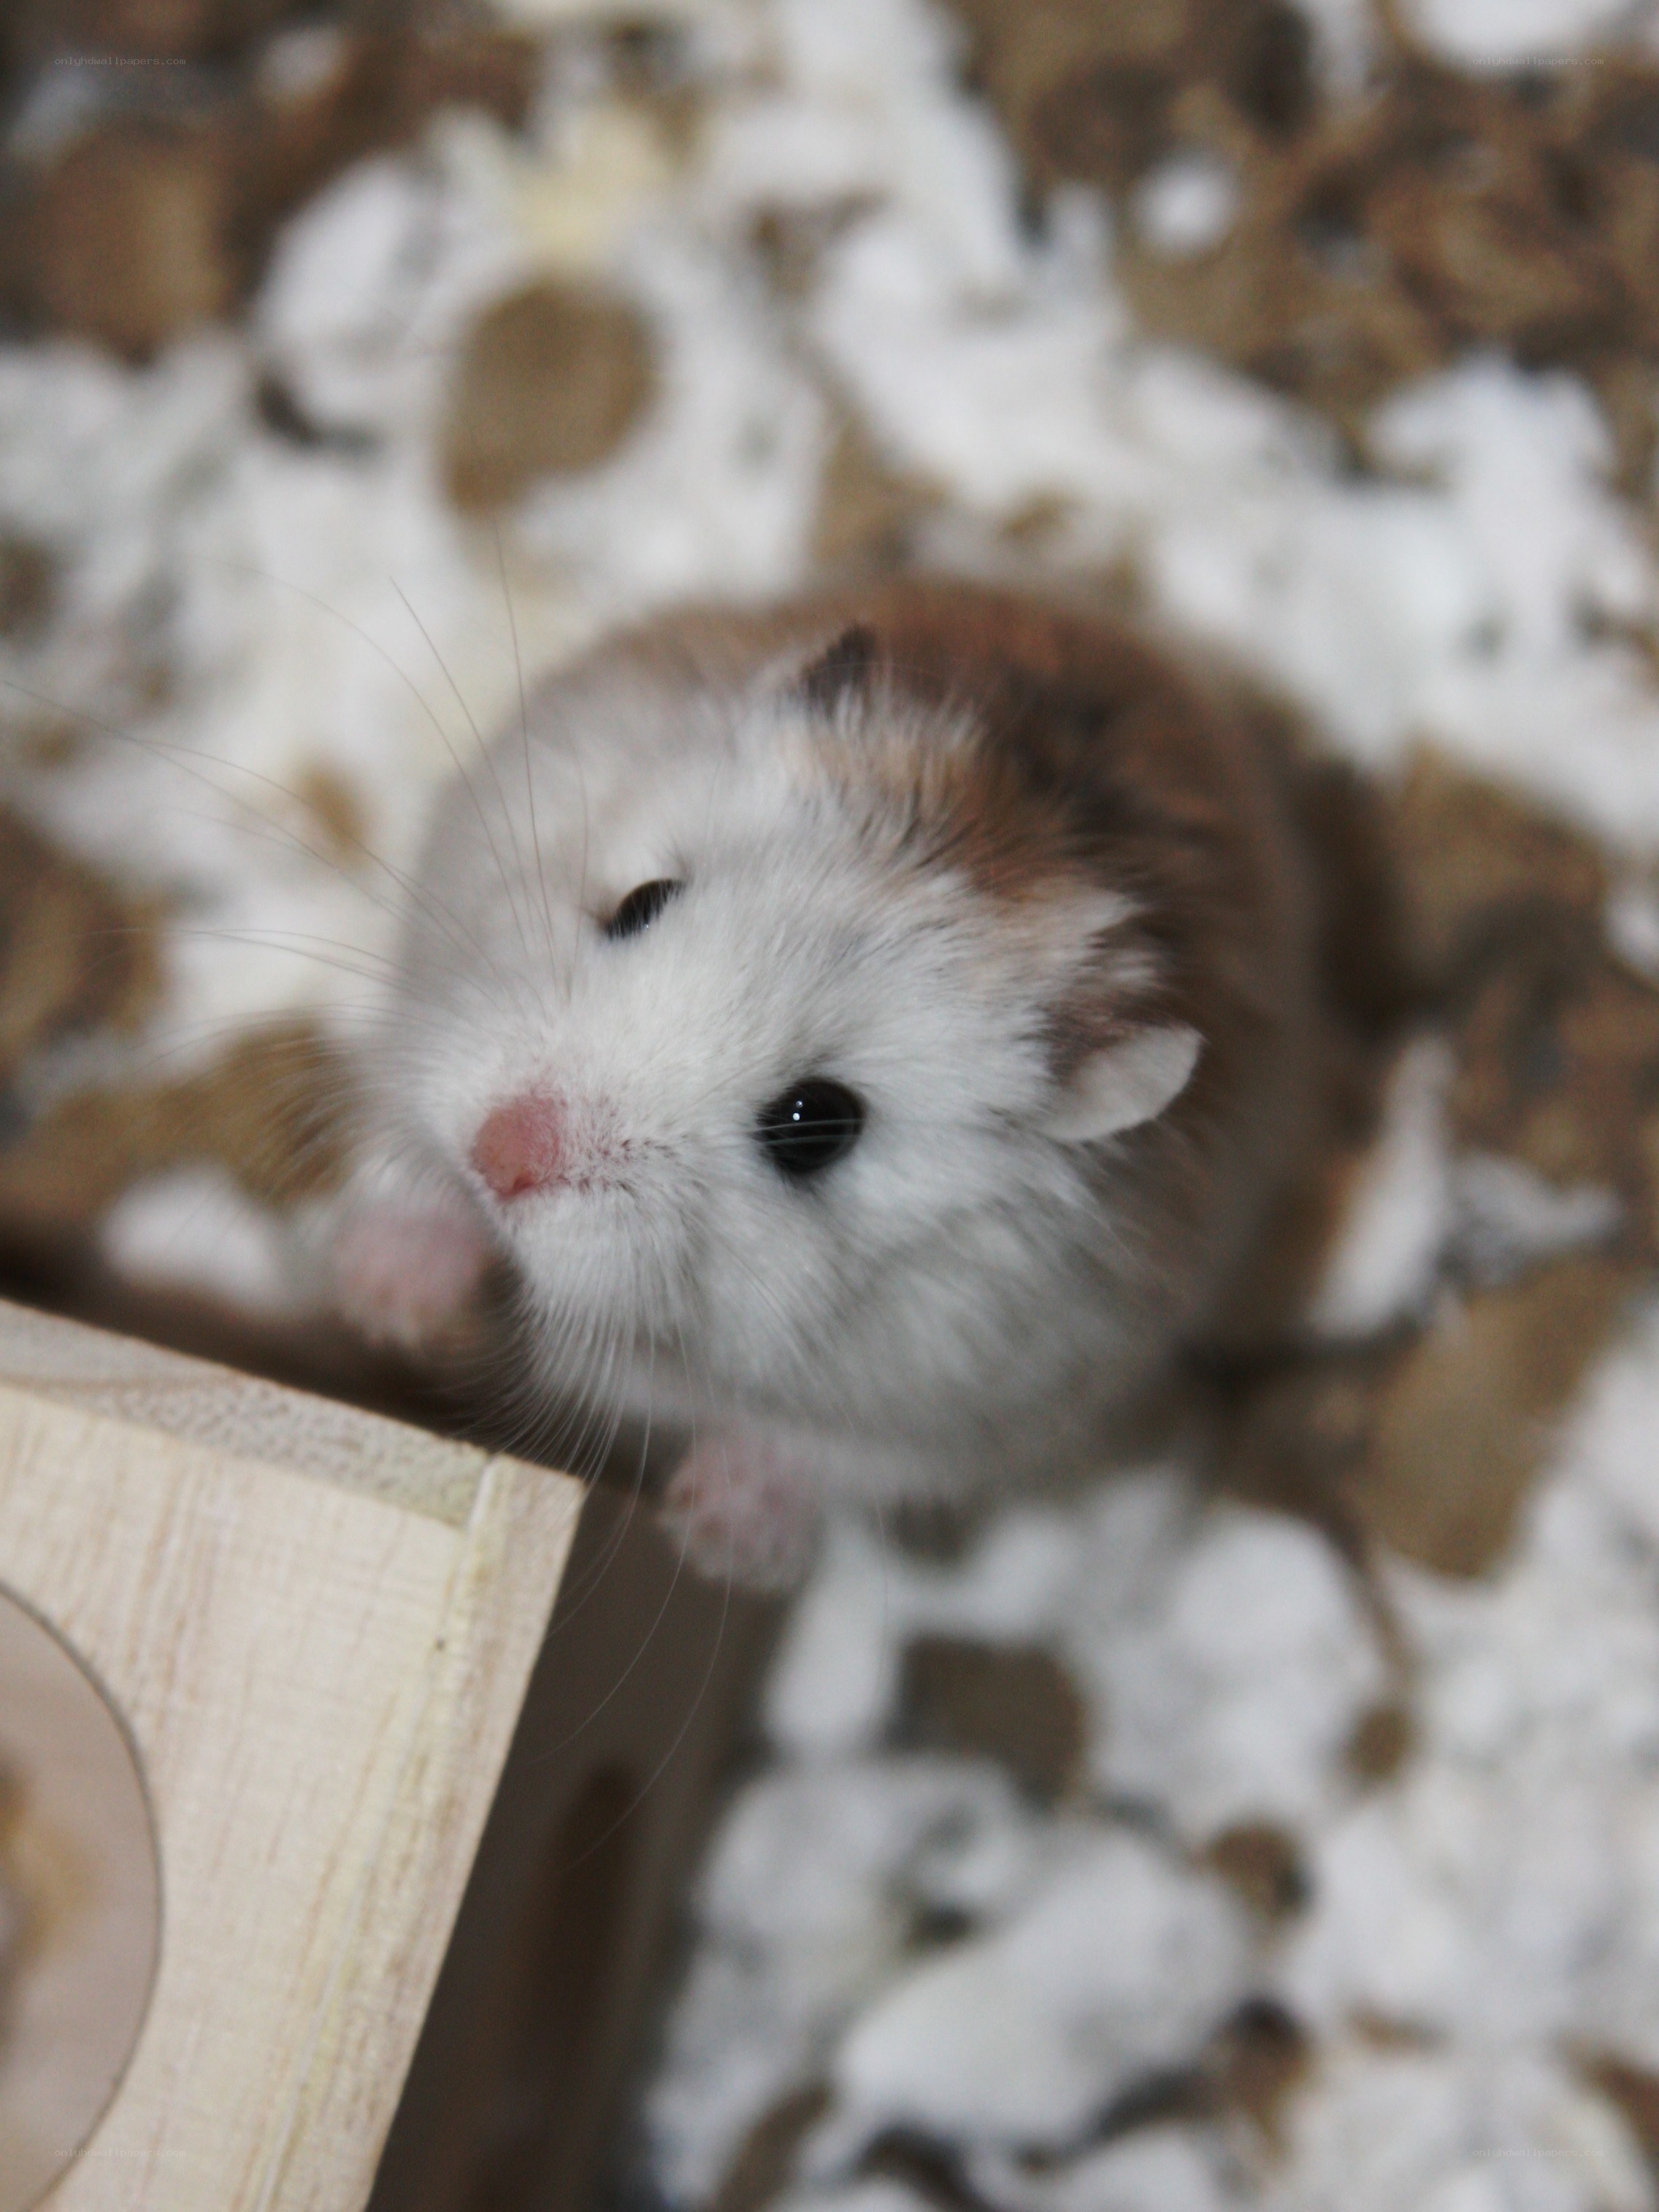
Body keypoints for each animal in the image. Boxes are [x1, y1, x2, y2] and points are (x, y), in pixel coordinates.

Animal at [330, 581, 1323, 1587]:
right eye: (641, 901)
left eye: (816, 1126)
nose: (500, 1155)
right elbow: (414, 1166)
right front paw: (382, 1303)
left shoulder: (961, 1401)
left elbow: (814, 1454)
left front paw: (714, 1536)